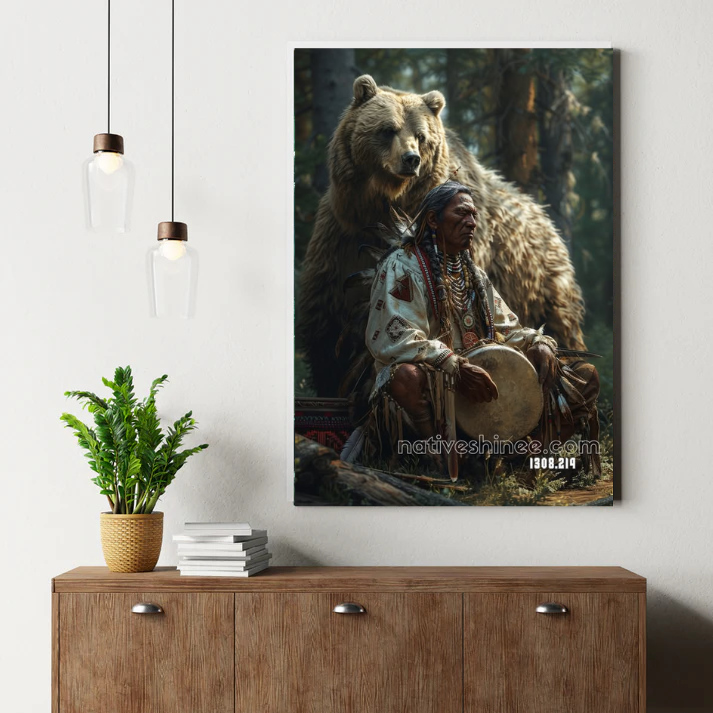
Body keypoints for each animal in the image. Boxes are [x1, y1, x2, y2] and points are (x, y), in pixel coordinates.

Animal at [298, 74, 586, 397]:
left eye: (421, 136)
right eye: (388, 129)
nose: (410, 159)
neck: (387, 204)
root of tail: (547, 220)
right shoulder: (339, 237)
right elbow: (327, 324)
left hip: (542, 284)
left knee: (561, 324)